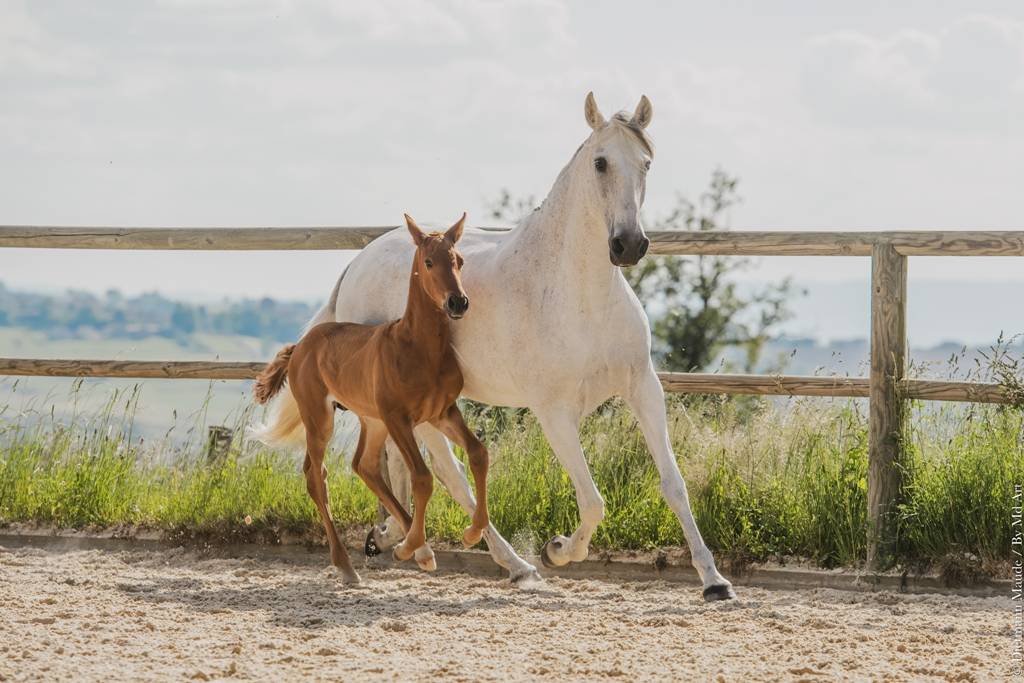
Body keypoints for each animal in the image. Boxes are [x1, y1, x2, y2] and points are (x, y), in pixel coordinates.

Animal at [252, 213, 489, 584]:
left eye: (460, 261)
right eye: (429, 261)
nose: (457, 302)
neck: (418, 347)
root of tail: (301, 345)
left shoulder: (442, 412)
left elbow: (478, 454)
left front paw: (470, 533)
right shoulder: (399, 417)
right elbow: (422, 477)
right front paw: (409, 547)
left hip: (372, 421)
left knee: (362, 465)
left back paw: (417, 550)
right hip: (321, 418)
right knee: (316, 476)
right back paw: (347, 564)